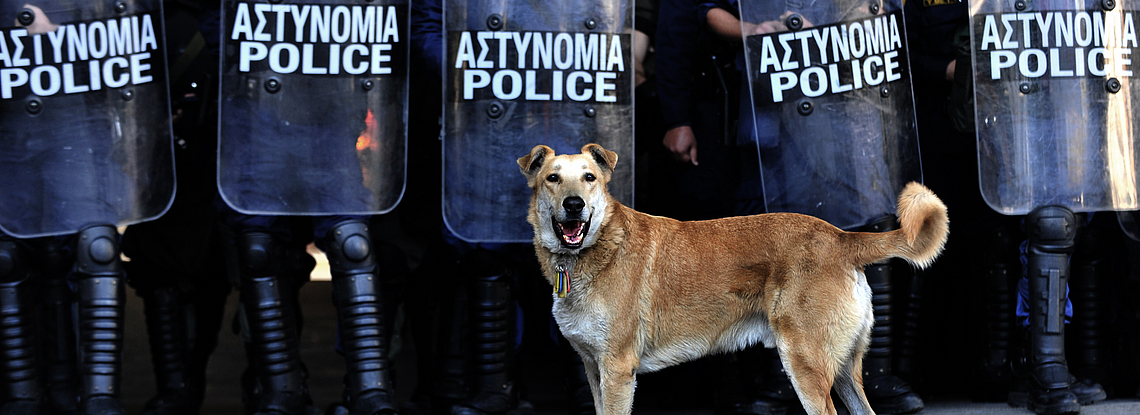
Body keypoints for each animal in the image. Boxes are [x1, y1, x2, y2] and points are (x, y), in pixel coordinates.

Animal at [515, 143, 943, 415]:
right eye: (553, 179)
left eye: (589, 177)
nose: (574, 205)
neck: (593, 252)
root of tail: (841, 237)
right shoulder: (593, 369)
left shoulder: (618, 370)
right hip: (842, 372)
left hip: (805, 365)